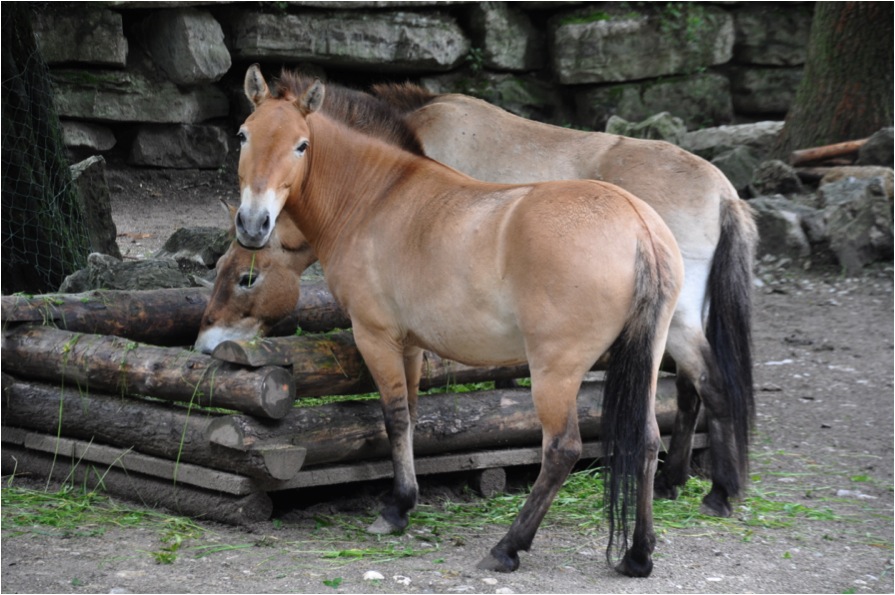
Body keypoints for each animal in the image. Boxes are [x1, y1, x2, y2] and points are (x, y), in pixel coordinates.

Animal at [198, 70, 757, 519]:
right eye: (243, 135)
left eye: (246, 277)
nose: (252, 224)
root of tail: (723, 191)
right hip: (673, 324)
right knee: (697, 389)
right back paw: (688, 484)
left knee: (701, 386)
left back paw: (707, 489)